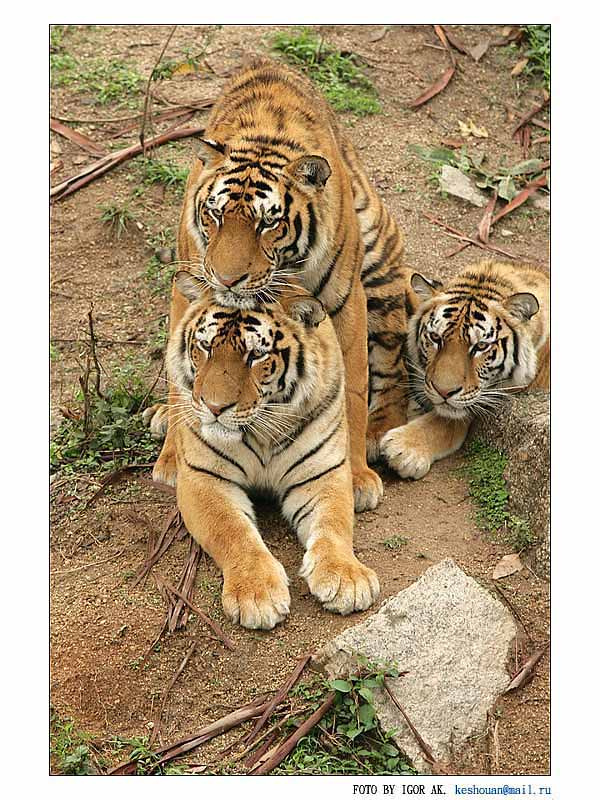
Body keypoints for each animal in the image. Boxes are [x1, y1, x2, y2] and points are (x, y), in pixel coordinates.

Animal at [146, 270, 380, 630]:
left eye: (255, 356)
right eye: (205, 346)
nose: (213, 407)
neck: (263, 432)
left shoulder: (322, 476)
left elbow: (334, 525)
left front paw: (346, 577)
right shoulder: (205, 479)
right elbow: (233, 531)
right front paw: (257, 594)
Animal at [150, 56, 419, 512]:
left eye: (267, 223)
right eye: (215, 214)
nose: (226, 277)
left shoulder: (345, 302)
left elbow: (352, 388)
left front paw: (354, 476)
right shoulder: (187, 290)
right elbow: (179, 377)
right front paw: (173, 457)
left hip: (379, 263)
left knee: (392, 362)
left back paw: (378, 432)